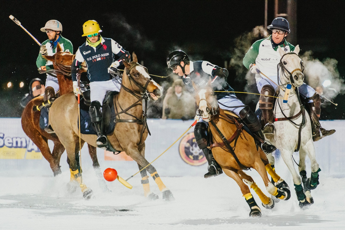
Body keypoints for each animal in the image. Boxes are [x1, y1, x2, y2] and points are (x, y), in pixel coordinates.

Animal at [21, 43, 99, 176]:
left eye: (70, 53)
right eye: (61, 60)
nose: (82, 63)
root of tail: (27, 106)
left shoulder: (84, 138)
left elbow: (94, 162)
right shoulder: (70, 139)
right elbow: (74, 163)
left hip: (58, 143)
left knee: (56, 159)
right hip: (36, 137)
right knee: (53, 162)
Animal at [47, 53, 175, 200]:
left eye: (146, 69)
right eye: (136, 74)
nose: (158, 90)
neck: (128, 111)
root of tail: (55, 101)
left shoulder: (140, 145)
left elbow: (143, 169)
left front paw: (149, 194)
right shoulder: (130, 148)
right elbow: (150, 166)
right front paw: (166, 192)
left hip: (78, 140)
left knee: (72, 162)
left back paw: (72, 188)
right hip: (67, 139)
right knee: (73, 164)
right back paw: (86, 191)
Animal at [194, 83, 290, 217]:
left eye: (211, 93)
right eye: (195, 96)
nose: (203, 110)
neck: (226, 139)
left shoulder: (255, 161)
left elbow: (269, 186)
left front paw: (282, 194)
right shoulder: (229, 170)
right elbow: (244, 188)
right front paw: (255, 208)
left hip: (260, 152)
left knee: (267, 165)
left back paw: (281, 184)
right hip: (239, 168)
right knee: (249, 179)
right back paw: (266, 200)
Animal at [264, 45, 322, 208]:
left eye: (300, 61)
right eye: (284, 62)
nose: (298, 77)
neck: (291, 114)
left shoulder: (307, 142)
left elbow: (314, 165)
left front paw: (313, 182)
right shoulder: (285, 151)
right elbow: (295, 176)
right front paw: (300, 197)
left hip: (301, 148)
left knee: (302, 167)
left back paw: (308, 193)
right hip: (267, 146)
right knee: (271, 163)